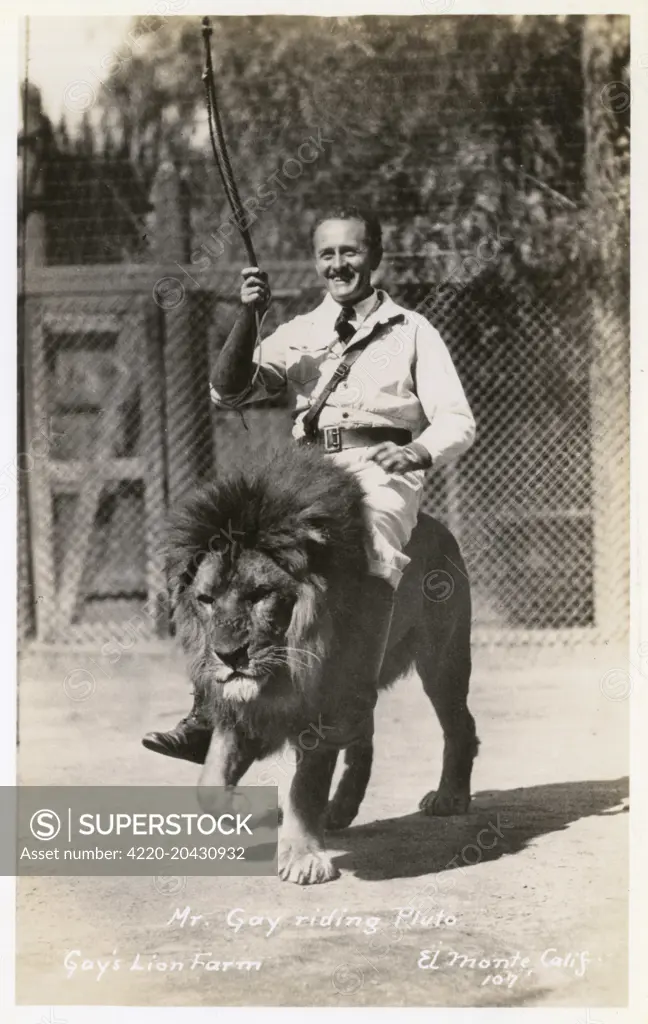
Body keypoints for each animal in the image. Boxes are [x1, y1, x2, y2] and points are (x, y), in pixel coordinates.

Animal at [168, 444, 477, 884]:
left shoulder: (323, 708)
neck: (290, 661)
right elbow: (209, 785)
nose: (228, 655)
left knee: (459, 726)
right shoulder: (238, 708)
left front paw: (302, 857)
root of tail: (438, 525)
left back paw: (450, 796)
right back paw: (341, 808)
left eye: (260, 594)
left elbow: (304, 788)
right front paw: (251, 809)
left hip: (440, 660)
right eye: (206, 599)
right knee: (364, 740)